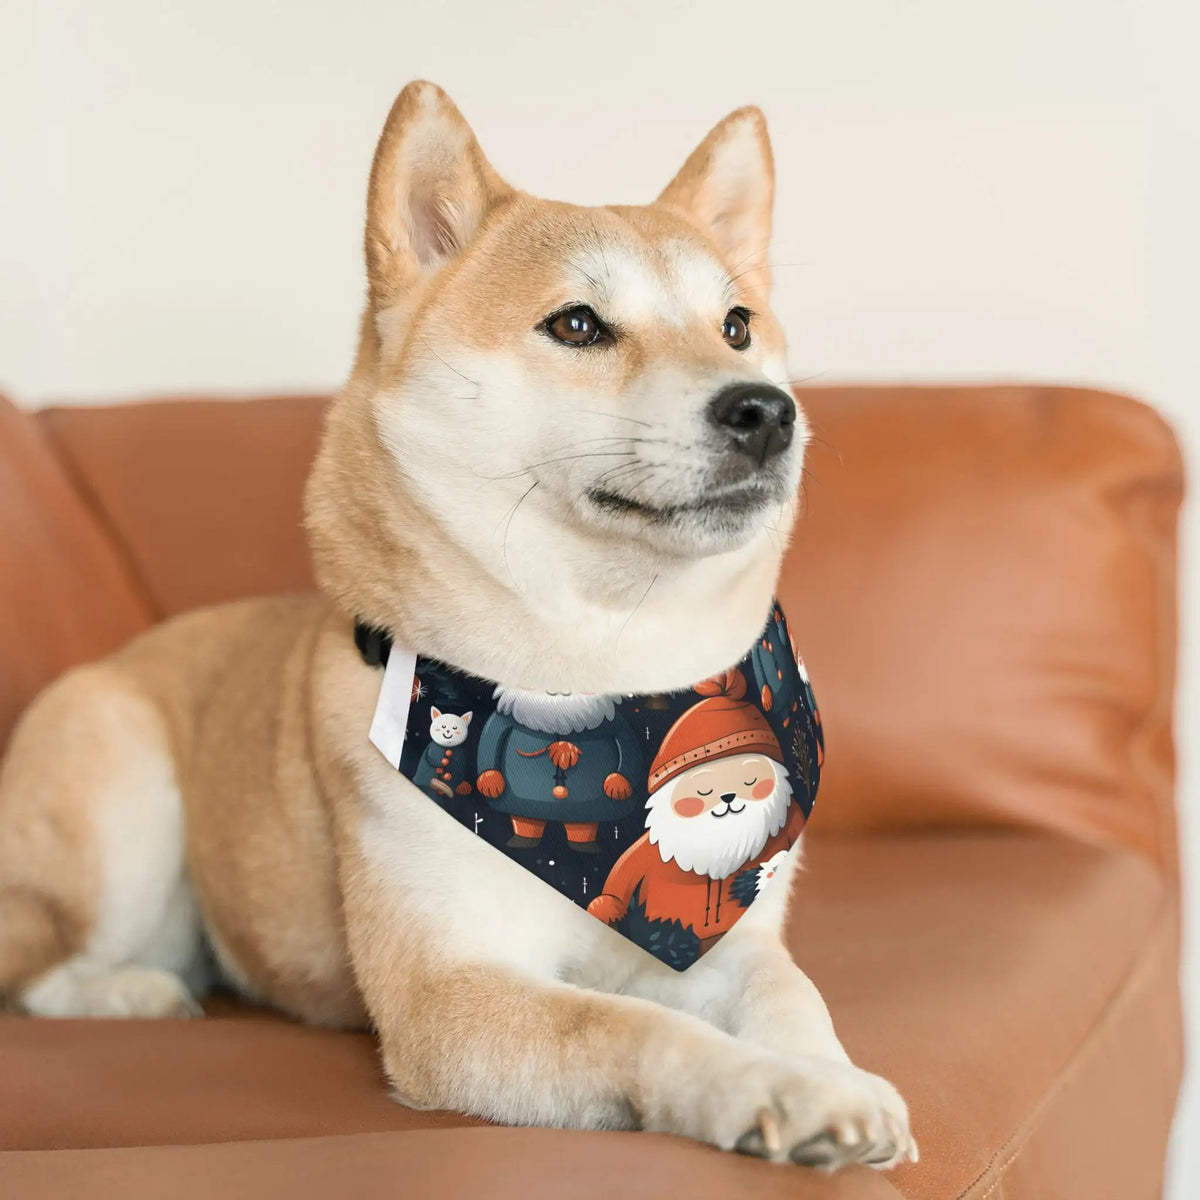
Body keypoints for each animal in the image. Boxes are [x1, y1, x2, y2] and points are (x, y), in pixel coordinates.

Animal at [0, 79, 912, 1166]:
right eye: (577, 325)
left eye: (737, 325)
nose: (767, 411)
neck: (608, 669)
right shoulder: (450, 993)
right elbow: (637, 1028)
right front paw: (772, 1088)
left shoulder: (727, 935)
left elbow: (789, 996)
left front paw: (834, 1077)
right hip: (122, 802)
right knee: (39, 969)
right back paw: (135, 992)